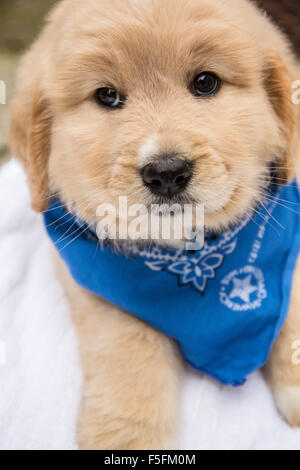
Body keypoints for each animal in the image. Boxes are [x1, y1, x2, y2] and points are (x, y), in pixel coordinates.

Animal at [9, 0, 300, 448]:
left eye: (205, 83)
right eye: (107, 96)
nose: (166, 172)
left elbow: (293, 304)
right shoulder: (92, 280)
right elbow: (127, 346)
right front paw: (128, 440)